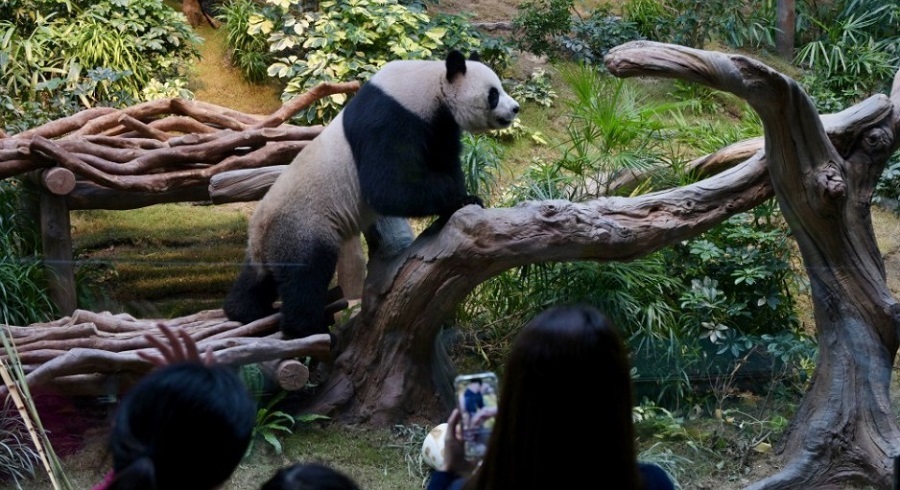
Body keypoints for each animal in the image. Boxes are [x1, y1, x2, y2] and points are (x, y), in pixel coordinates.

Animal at [223, 50, 520, 340]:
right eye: (494, 93)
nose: (515, 108)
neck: (431, 83)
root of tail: (260, 233)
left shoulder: (440, 127)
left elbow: (443, 160)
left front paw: (462, 198)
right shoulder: (393, 117)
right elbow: (387, 187)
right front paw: (460, 198)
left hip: (269, 240)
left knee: (257, 280)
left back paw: (243, 311)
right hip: (303, 226)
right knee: (305, 276)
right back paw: (307, 329)